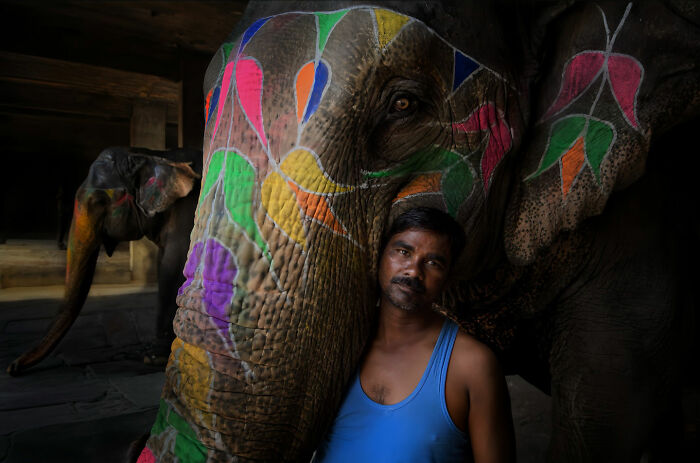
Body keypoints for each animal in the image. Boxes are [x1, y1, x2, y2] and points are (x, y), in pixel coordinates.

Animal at [6, 147, 202, 376]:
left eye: (98, 202)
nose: (12, 368)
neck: (154, 155)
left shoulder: (186, 215)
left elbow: (172, 265)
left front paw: (154, 358)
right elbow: (164, 262)